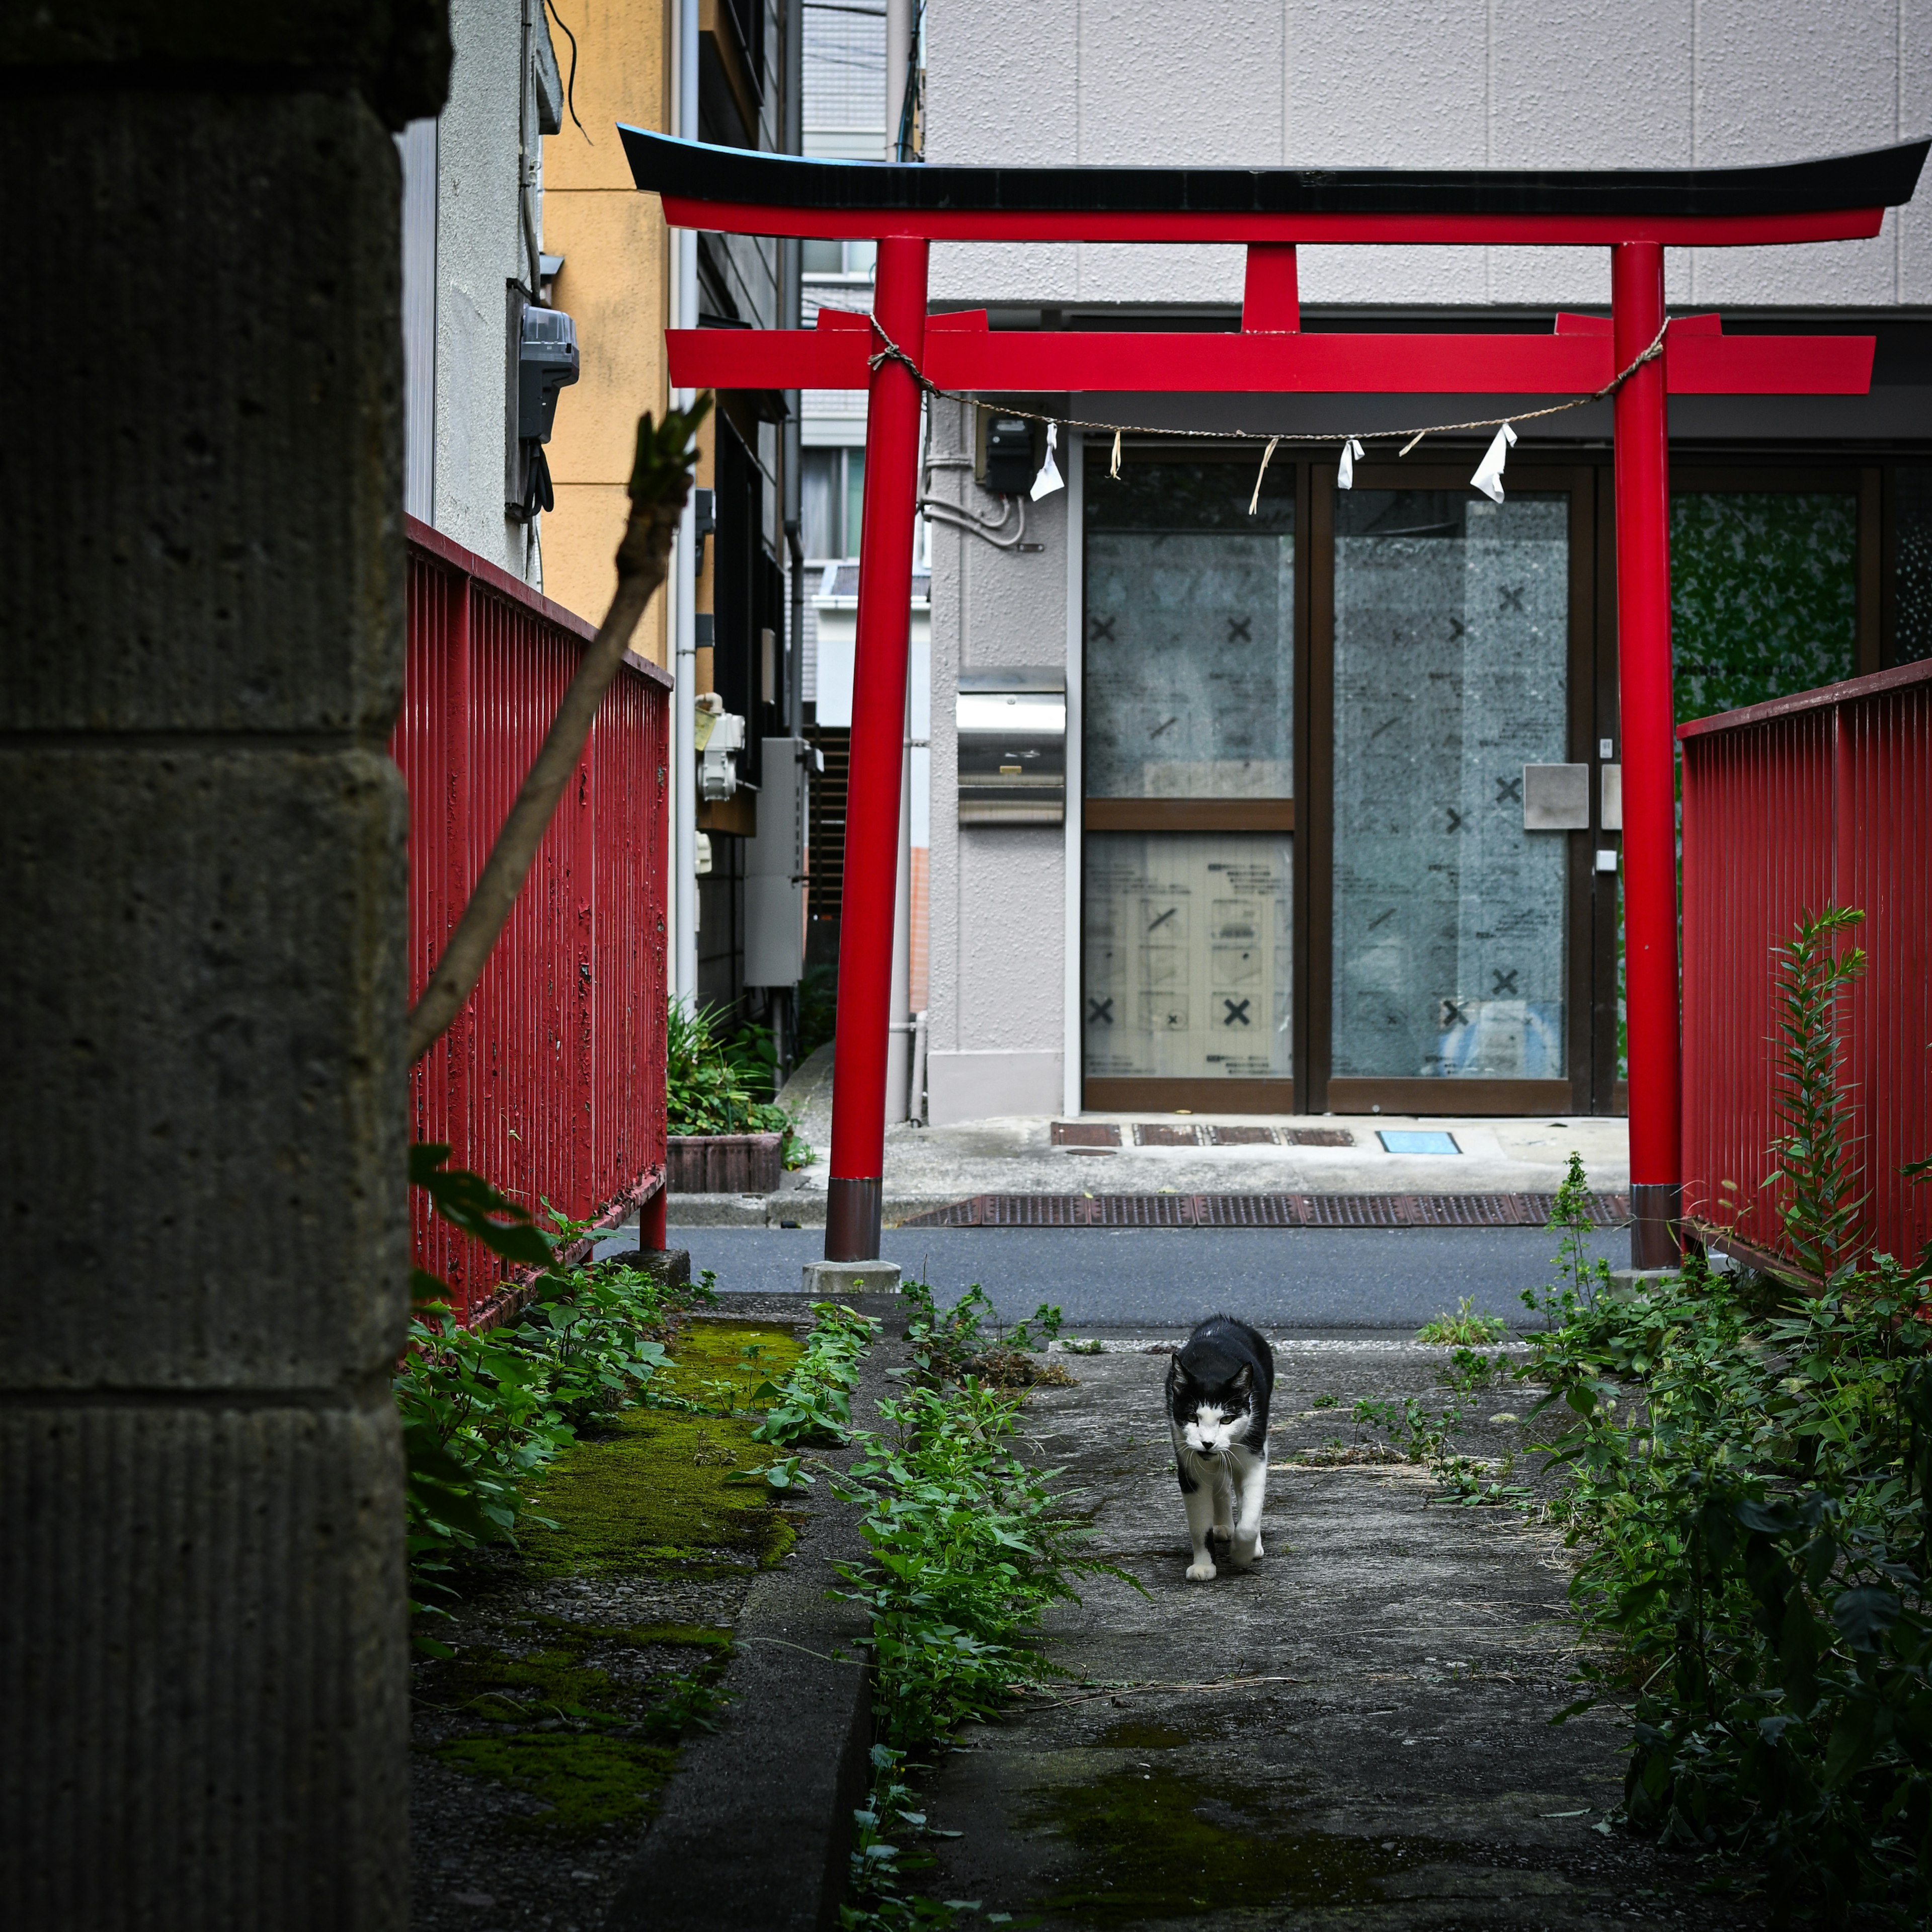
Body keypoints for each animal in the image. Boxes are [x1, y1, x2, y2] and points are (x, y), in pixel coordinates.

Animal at [1167, 1321, 1275, 1576]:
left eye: (1226, 1420)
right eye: (1192, 1417)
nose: (1208, 1443)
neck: (1212, 1368)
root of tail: (1223, 1321)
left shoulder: (1254, 1459)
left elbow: (1249, 1517)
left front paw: (1242, 1554)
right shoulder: (1190, 1467)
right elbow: (1199, 1525)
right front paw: (1204, 1565)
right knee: (1221, 1485)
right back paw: (1224, 1525)